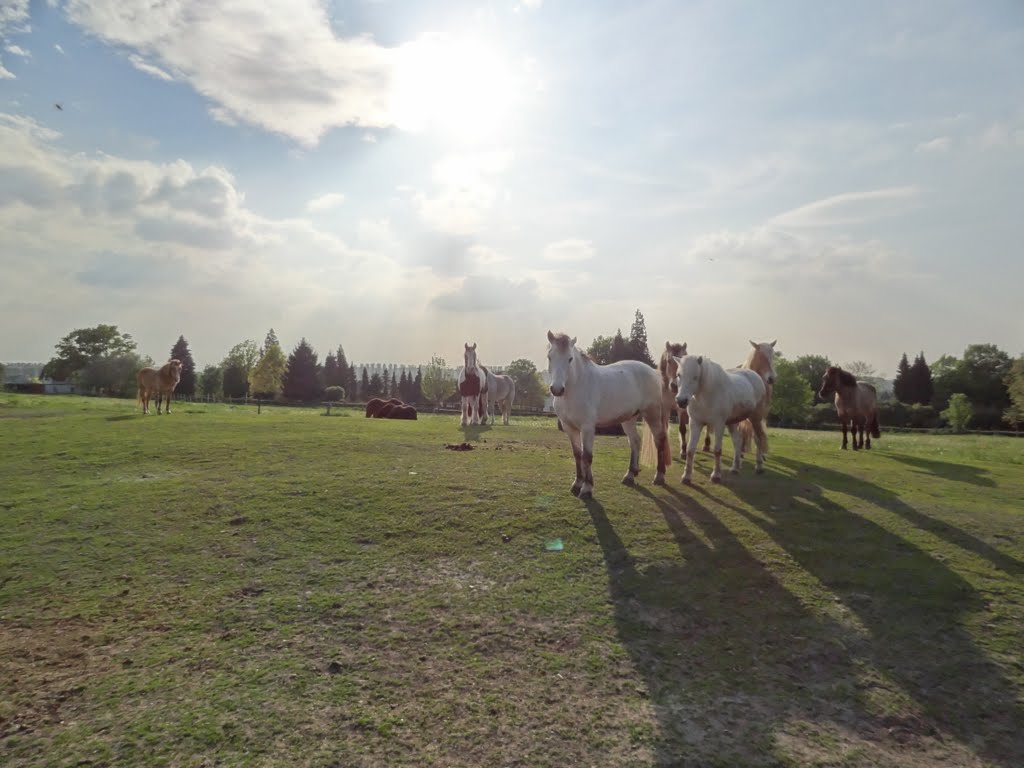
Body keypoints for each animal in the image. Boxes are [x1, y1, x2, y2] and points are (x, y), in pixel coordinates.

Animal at [548, 329, 667, 499]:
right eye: (550, 357)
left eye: (570, 359)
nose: (557, 389)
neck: (576, 386)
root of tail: (653, 372)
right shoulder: (569, 428)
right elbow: (577, 454)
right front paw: (577, 484)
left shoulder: (587, 428)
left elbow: (587, 456)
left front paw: (587, 488)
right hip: (629, 419)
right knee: (635, 441)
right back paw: (630, 475)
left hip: (652, 413)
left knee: (659, 439)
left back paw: (659, 476)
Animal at [671, 354, 770, 483]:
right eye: (679, 375)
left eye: (695, 377)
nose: (681, 401)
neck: (706, 397)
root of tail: (756, 376)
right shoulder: (695, 423)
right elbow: (690, 449)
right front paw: (686, 476)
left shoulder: (719, 424)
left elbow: (717, 450)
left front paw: (716, 475)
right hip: (733, 422)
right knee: (737, 441)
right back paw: (735, 468)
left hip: (755, 419)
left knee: (758, 439)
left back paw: (759, 466)